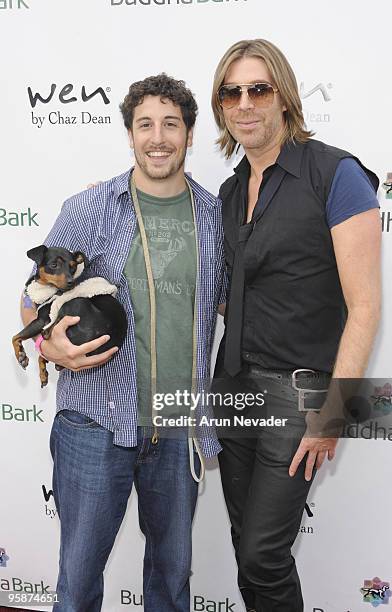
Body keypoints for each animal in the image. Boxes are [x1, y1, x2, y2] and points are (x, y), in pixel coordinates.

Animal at [12, 245, 127, 384]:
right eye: (54, 265)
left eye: (73, 266)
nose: (71, 282)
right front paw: (39, 368)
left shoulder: (41, 319)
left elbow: (15, 337)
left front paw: (20, 355)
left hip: (75, 302)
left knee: (49, 332)